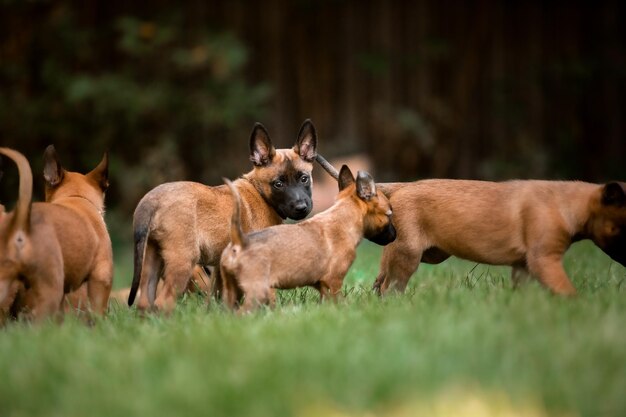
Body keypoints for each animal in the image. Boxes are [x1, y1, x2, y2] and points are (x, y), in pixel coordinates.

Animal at [130, 120, 320, 312]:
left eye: (304, 179)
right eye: (278, 184)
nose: (301, 207)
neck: (260, 192)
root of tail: (151, 200)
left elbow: (220, 296)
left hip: (152, 259)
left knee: (145, 301)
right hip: (182, 261)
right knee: (163, 302)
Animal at [219, 164, 394, 310]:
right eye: (389, 214)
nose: (395, 235)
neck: (343, 218)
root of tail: (240, 241)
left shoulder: (322, 286)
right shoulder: (334, 282)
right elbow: (340, 301)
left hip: (230, 291)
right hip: (258, 292)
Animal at [366, 177, 624, 294]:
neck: (565, 203)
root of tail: (405, 185)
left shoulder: (523, 266)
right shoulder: (545, 259)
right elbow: (566, 289)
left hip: (417, 252)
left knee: (382, 276)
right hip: (408, 255)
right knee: (391, 286)